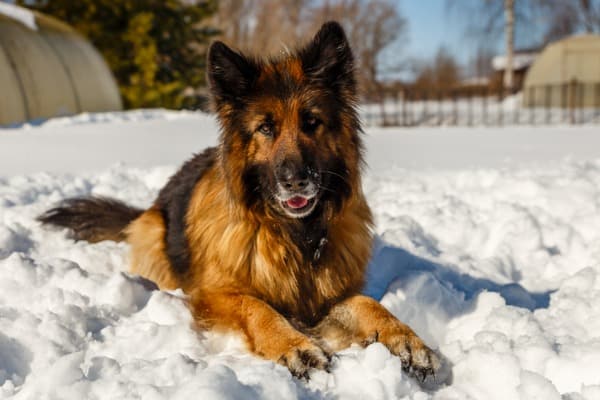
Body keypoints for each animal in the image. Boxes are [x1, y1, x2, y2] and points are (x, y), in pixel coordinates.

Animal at [39, 21, 438, 378]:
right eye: (265, 128)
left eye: (312, 122)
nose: (297, 181)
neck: (295, 236)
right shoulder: (215, 294)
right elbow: (257, 308)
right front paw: (294, 345)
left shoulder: (329, 297)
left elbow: (370, 305)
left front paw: (406, 338)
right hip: (153, 234)